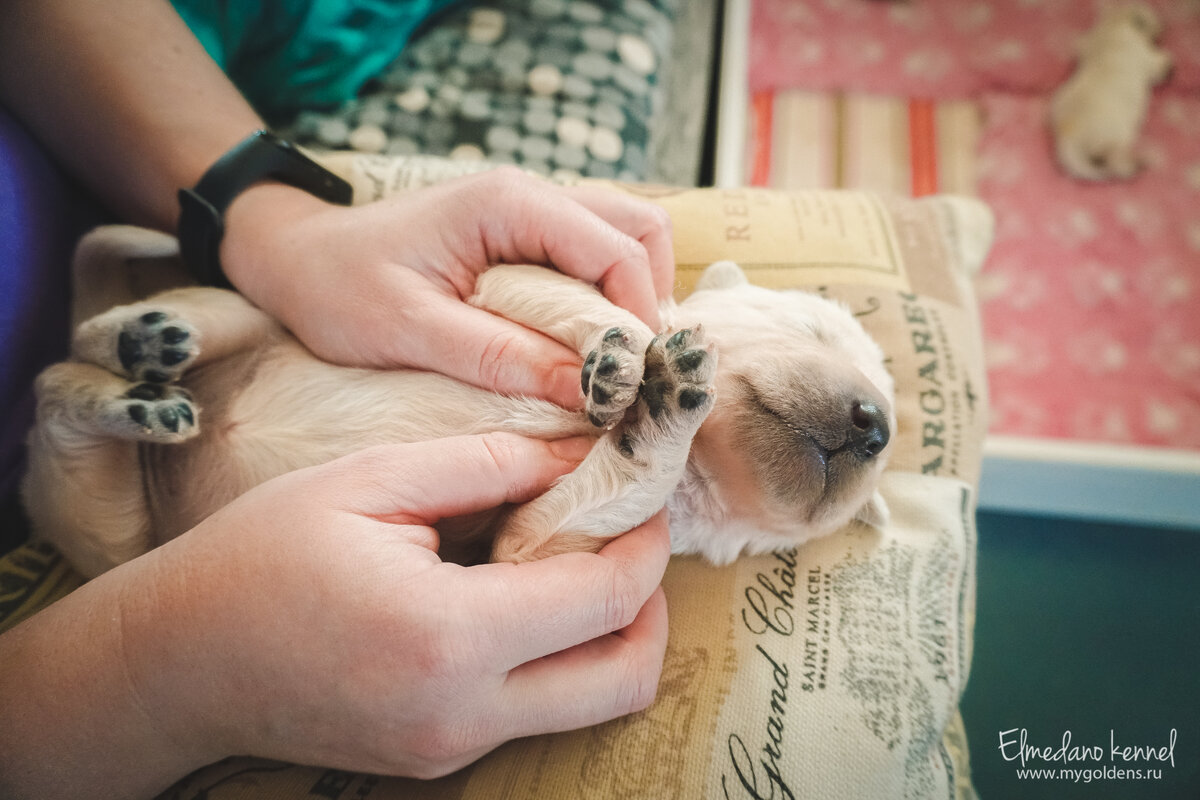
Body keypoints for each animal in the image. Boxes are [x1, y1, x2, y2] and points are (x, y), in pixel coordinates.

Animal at [23, 225, 897, 575]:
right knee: (69, 363)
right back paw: (141, 346)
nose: (877, 426)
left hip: (123, 535)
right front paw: (626, 360)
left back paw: (143, 399)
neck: (703, 470)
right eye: (815, 324)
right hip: (236, 313)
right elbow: (596, 302)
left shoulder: (531, 546)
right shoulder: (499, 279)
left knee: (56, 394)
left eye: (876, 474)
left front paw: (661, 407)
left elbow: (614, 485)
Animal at [1051, 3, 1171, 181]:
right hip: (1118, 137)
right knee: (1114, 163)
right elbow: (1159, 62)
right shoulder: (1147, 56)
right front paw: (1170, 64)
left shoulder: (1086, 41)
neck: (1112, 24)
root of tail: (1067, 135)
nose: (1162, 29)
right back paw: (1137, 162)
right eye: (1151, 18)